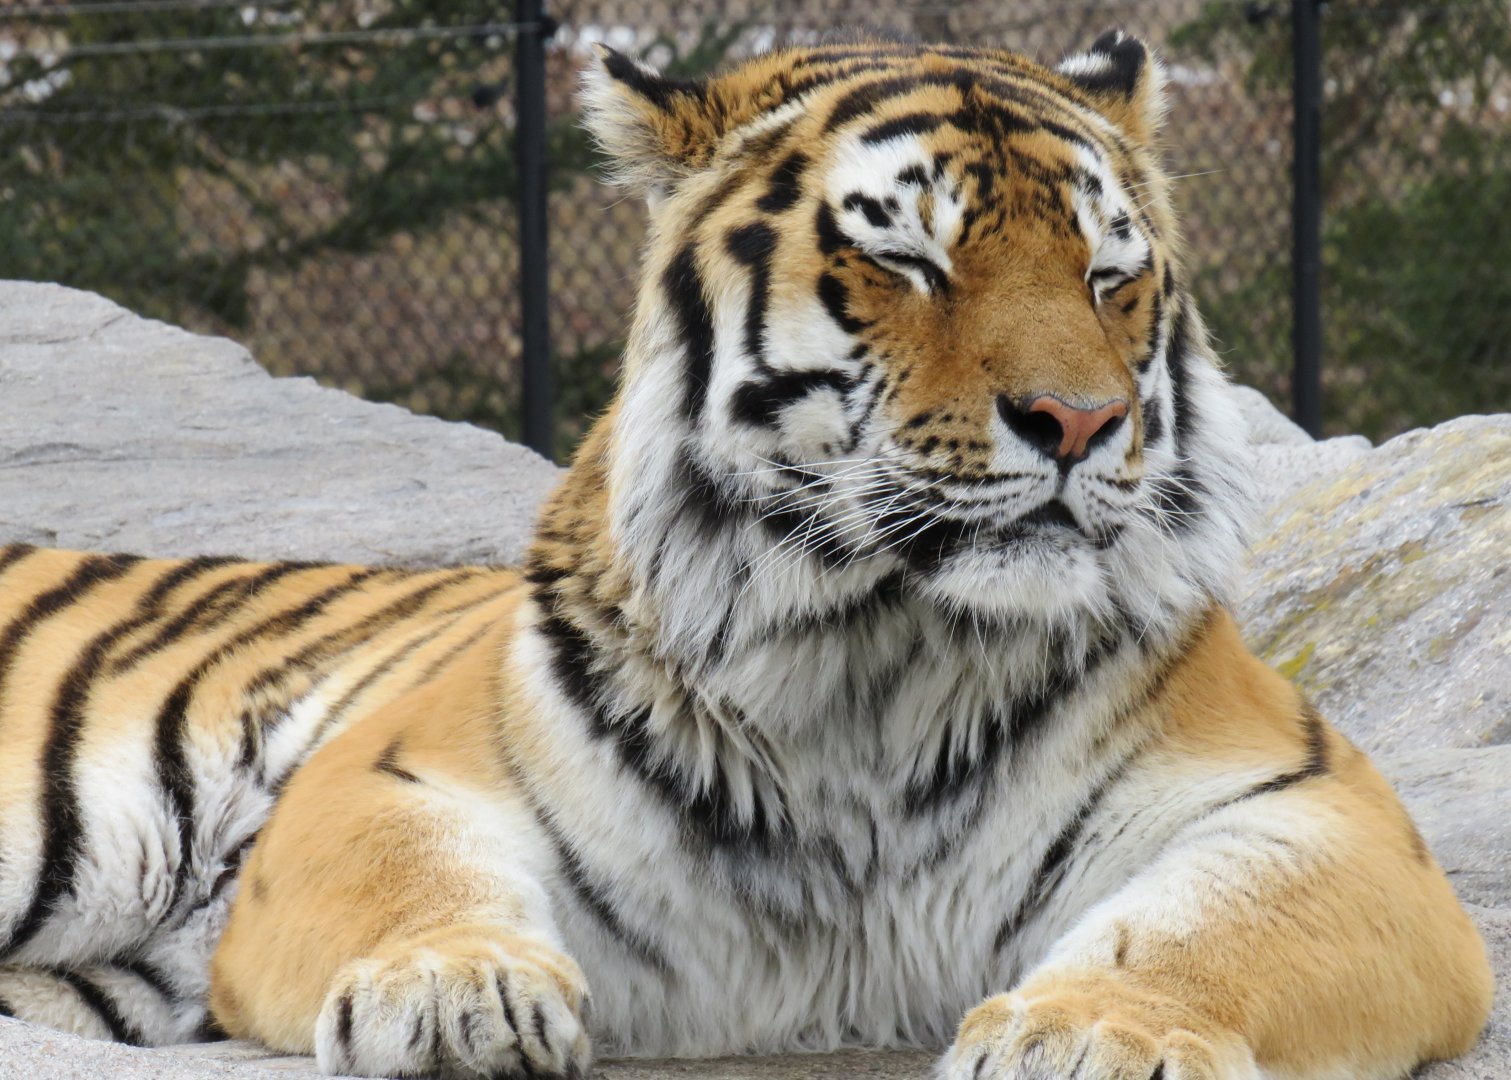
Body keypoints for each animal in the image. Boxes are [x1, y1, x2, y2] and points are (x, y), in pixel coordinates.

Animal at [0, 29, 1493, 1080]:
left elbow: (1200, 931)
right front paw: (455, 992)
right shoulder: (386, 774)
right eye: (909, 262)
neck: (881, 651)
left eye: (1106, 277)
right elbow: (414, 879)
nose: (1079, 422)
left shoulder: (1325, 815)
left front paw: (1095, 1035)